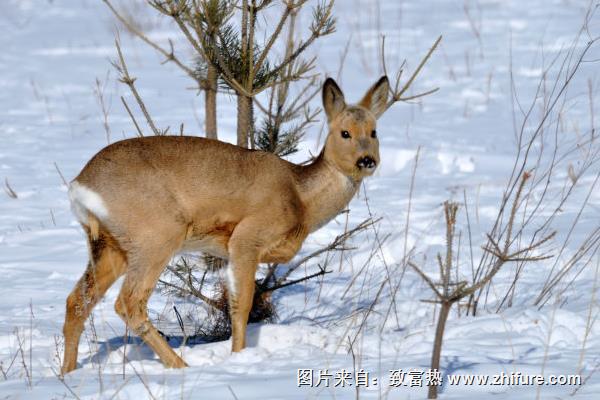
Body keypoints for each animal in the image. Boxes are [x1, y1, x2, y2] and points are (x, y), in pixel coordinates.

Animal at [59, 76, 390, 376]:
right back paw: (181, 366)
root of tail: (80, 187)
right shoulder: (246, 237)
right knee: (128, 303)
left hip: (110, 246)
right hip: (156, 235)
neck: (301, 199)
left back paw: (67, 373)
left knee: (77, 301)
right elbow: (241, 306)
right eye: (344, 133)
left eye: (374, 131)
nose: (366, 160)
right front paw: (238, 357)